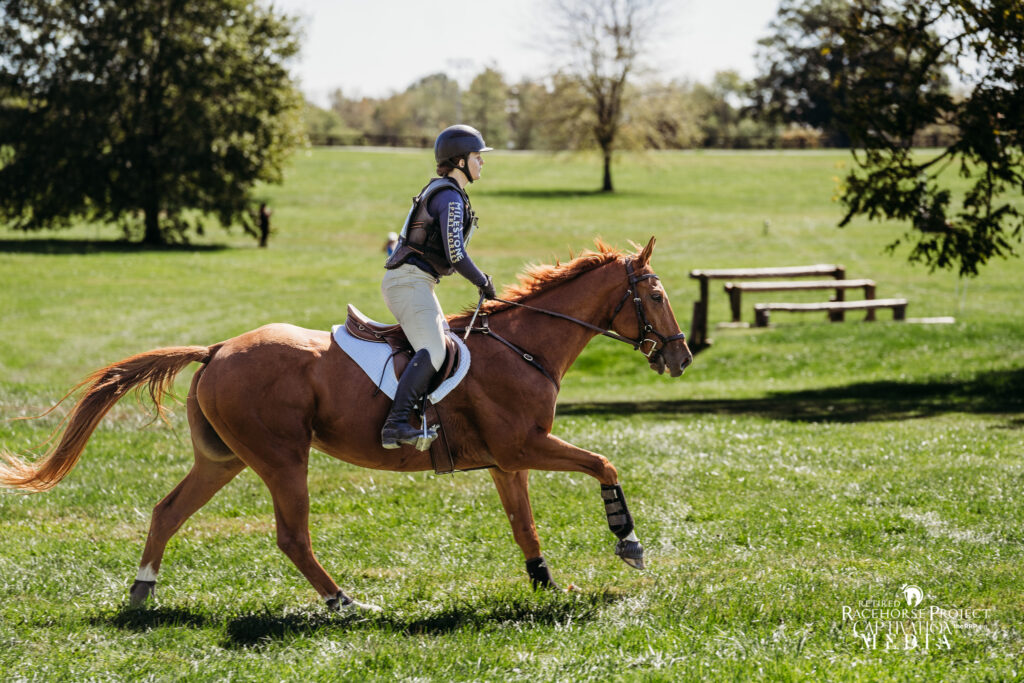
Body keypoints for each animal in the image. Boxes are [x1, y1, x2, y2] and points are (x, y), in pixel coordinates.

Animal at [0, 237, 692, 610]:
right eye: (657, 295)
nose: (681, 356)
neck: (526, 346)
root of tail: (218, 349)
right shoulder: (527, 444)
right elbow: (603, 464)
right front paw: (628, 543)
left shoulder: (508, 459)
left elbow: (524, 526)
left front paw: (547, 586)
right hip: (282, 458)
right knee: (291, 536)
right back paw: (344, 601)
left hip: (224, 459)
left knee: (169, 510)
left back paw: (143, 591)